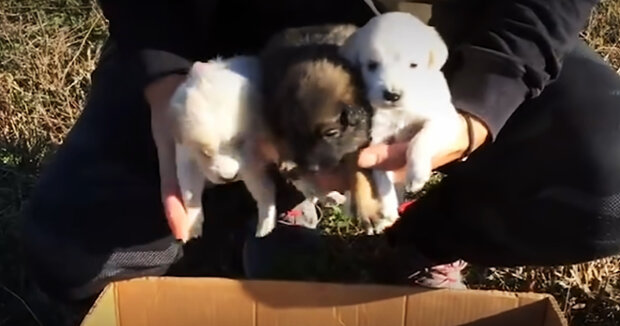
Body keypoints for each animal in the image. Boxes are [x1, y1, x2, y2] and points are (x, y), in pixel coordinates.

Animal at [168, 55, 278, 239]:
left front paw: (265, 224)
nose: (229, 178)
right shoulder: (187, 156)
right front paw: (193, 224)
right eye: (205, 153)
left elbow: (262, 190)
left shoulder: (251, 162)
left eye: (239, 142)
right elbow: (190, 191)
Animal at [262, 24, 388, 234]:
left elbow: (360, 171)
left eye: (331, 133)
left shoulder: (360, 139)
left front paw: (368, 211)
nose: (313, 169)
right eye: (295, 135)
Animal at [340, 12, 460, 232]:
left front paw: (416, 174)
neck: (397, 113)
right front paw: (386, 207)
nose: (392, 95)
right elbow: (380, 173)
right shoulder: (376, 139)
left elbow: (421, 139)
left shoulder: (445, 120)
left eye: (413, 65)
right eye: (371, 65)